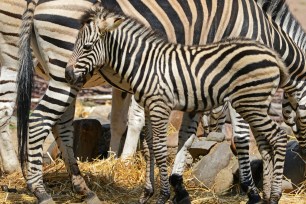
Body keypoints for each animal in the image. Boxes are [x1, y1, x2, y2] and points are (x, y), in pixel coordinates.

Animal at [16, 0, 306, 203]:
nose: (302, 165)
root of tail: (36, 3)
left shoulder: (194, 84)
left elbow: (181, 135)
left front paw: (176, 187)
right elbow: (243, 137)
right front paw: (253, 190)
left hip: (62, 75)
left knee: (59, 124)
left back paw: (81, 188)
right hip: (60, 67)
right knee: (37, 120)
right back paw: (39, 190)